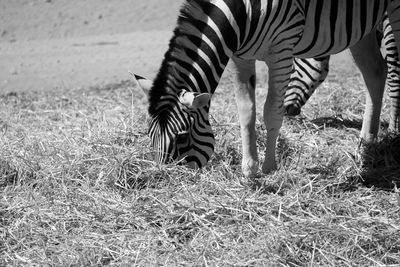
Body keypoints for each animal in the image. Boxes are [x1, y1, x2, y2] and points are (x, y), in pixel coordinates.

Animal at [134, 1, 400, 180]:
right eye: (150, 135)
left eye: (181, 137)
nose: (165, 177)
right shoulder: (240, 57)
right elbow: (246, 113)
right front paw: (249, 168)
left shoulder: (280, 52)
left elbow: (271, 111)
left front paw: (269, 167)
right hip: (361, 27)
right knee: (375, 72)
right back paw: (366, 146)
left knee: (394, 70)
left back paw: (394, 134)